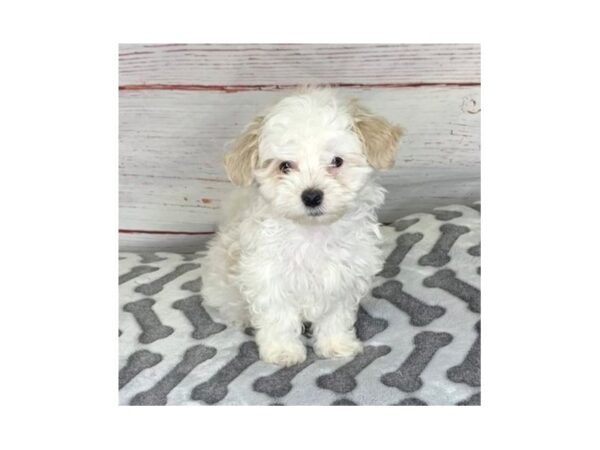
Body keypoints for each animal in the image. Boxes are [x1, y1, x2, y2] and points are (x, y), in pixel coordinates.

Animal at [202, 88, 404, 366]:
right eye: (285, 166)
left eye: (336, 161)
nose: (311, 196)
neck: (313, 231)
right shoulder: (268, 277)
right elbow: (279, 318)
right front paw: (283, 351)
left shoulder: (342, 278)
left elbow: (334, 317)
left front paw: (336, 345)